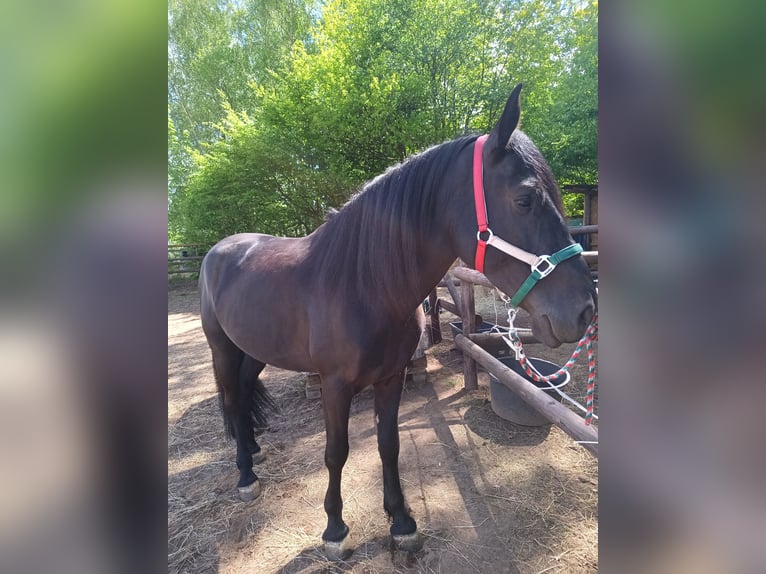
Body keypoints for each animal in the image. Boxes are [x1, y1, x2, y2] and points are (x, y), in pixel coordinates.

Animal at [198, 83, 596, 559]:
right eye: (524, 199)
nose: (585, 309)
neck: (361, 284)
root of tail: (220, 249)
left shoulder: (391, 378)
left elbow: (389, 444)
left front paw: (401, 522)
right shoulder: (335, 385)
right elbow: (336, 452)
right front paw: (335, 530)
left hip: (254, 349)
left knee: (241, 395)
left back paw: (255, 451)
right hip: (223, 348)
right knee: (231, 399)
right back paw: (245, 475)